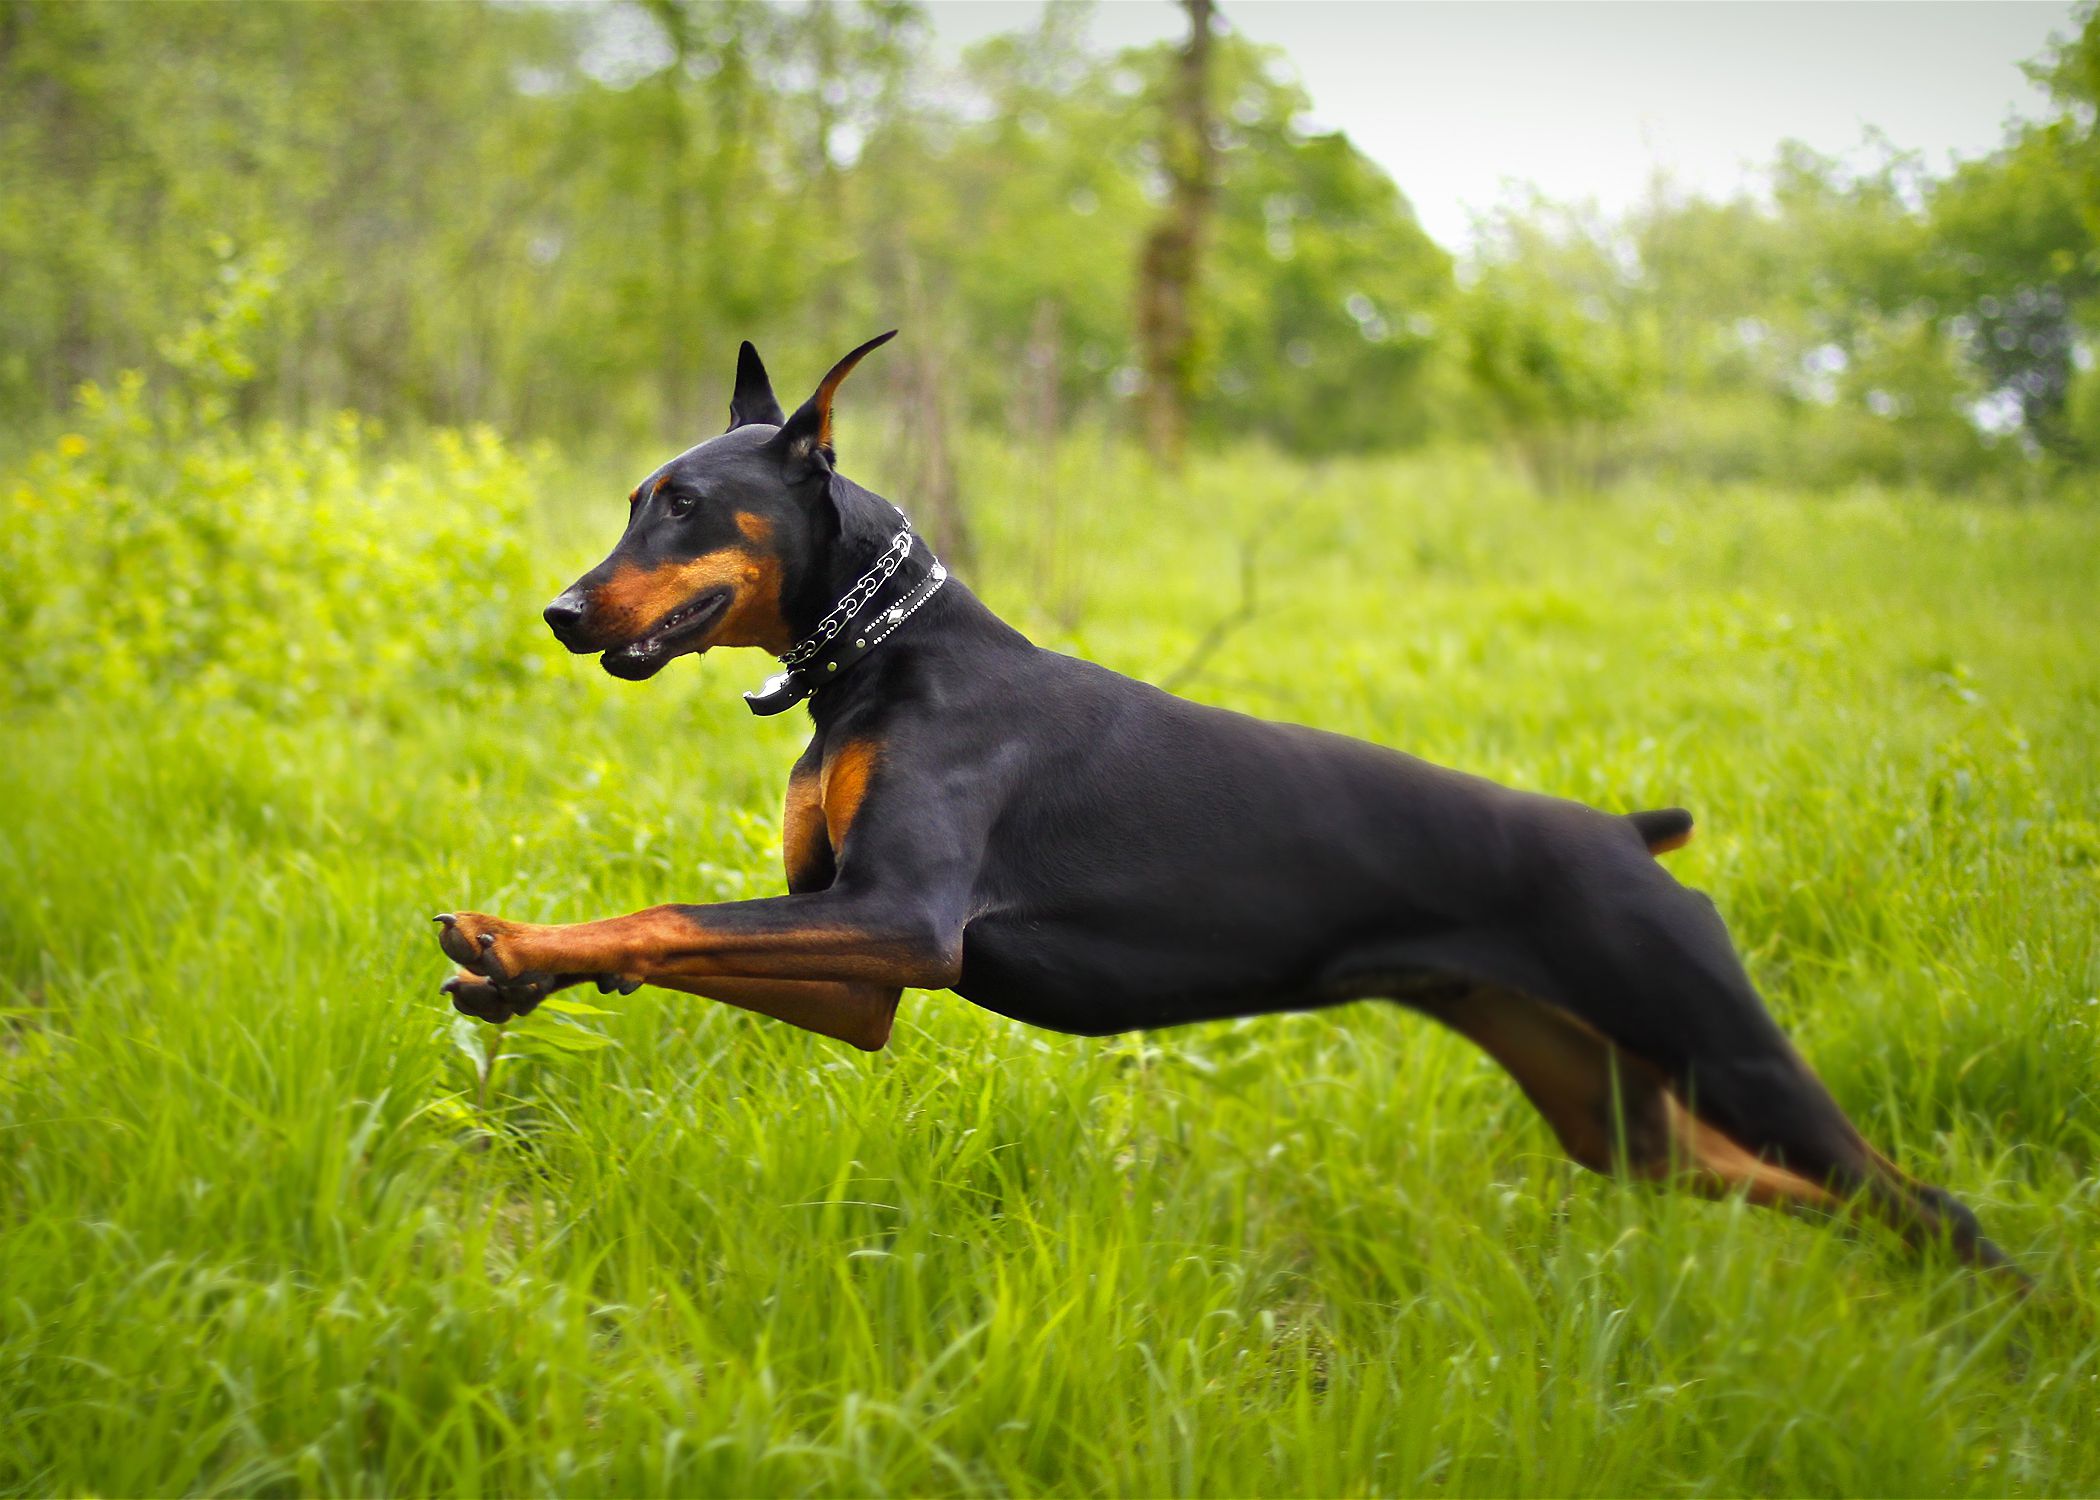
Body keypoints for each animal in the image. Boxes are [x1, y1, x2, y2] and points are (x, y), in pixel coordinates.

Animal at [438, 329, 2015, 1277]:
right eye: (635, 498)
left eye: (686, 505)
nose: (563, 613)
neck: (886, 657)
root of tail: (1628, 837)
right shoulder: (857, 971)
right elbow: (679, 939)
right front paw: (527, 979)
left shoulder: (901, 923)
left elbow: (662, 912)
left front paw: (515, 945)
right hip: (1616, 1114)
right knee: (1838, 1202)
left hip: (1715, 1039)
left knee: (1936, 1206)